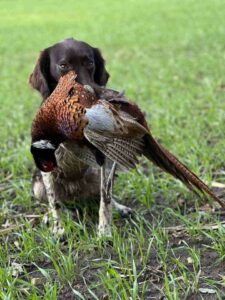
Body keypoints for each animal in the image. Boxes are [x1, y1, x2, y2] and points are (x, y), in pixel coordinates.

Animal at [29, 37, 132, 234]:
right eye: (63, 65)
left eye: (90, 63)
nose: (89, 92)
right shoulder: (47, 168)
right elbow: (54, 201)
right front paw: (58, 228)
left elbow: (106, 193)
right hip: (38, 186)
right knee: (53, 201)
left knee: (102, 192)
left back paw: (119, 208)